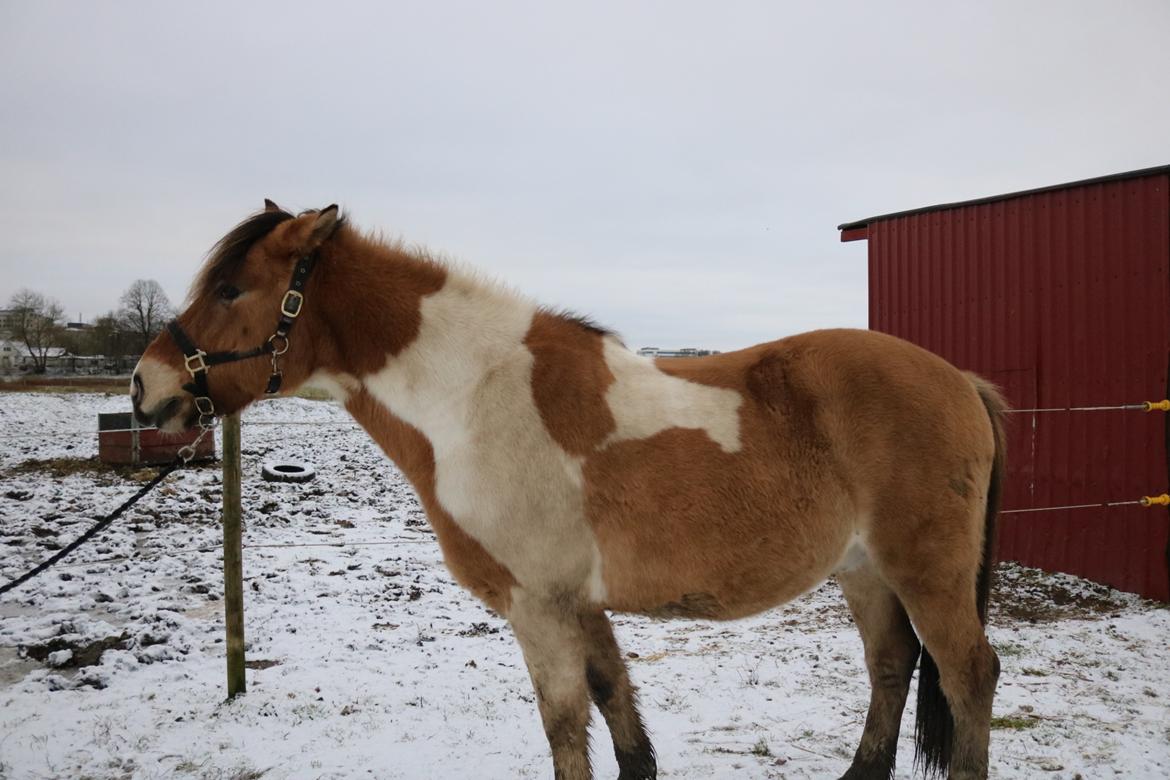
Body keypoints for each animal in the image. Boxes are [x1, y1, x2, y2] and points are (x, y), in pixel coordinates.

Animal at [130, 203, 1006, 780]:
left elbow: (565, 725)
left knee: (968, 676)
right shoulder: (578, 603)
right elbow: (617, 708)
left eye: (233, 290)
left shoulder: (539, 608)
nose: (146, 387)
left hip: (925, 571)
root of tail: (959, 379)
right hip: (865, 571)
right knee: (892, 666)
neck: (475, 397)